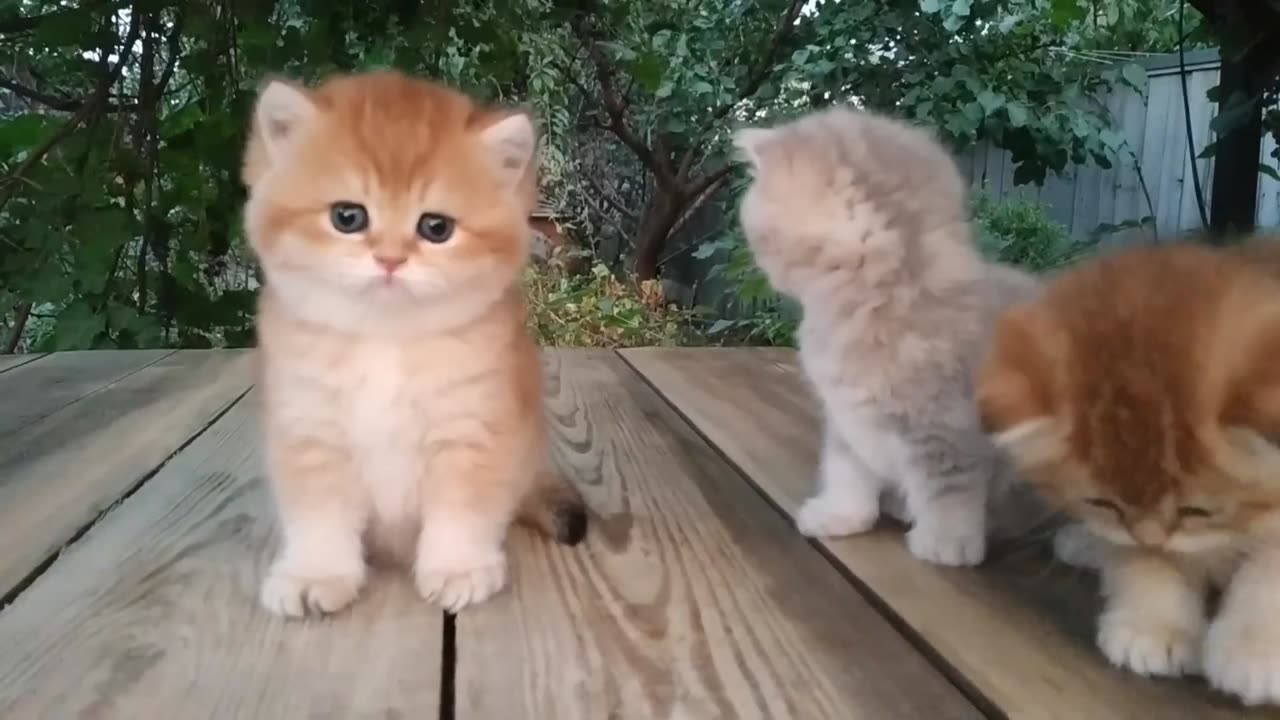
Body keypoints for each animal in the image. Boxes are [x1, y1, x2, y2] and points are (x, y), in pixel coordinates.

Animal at [241, 70, 586, 614]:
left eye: (436, 227)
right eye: (347, 217)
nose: (390, 260)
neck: (386, 339)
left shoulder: (470, 433)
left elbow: (462, 512)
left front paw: (458, 567)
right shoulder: (311, 434)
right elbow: (319, 518)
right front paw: (316, 573)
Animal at [737, 107, 1044, 566]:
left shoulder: (947, 425)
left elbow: (950, 485)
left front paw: (946, 542)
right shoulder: (845, 419)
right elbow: (846, 471)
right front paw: (842, 514)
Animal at [972, 243, 1280, 702]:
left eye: (1199, 511)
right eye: (1103, 503)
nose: (1152, 537)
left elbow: (1269, 572)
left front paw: (1255, 652)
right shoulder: (1121, 527)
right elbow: (1136, 556)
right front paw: (1153, 625)